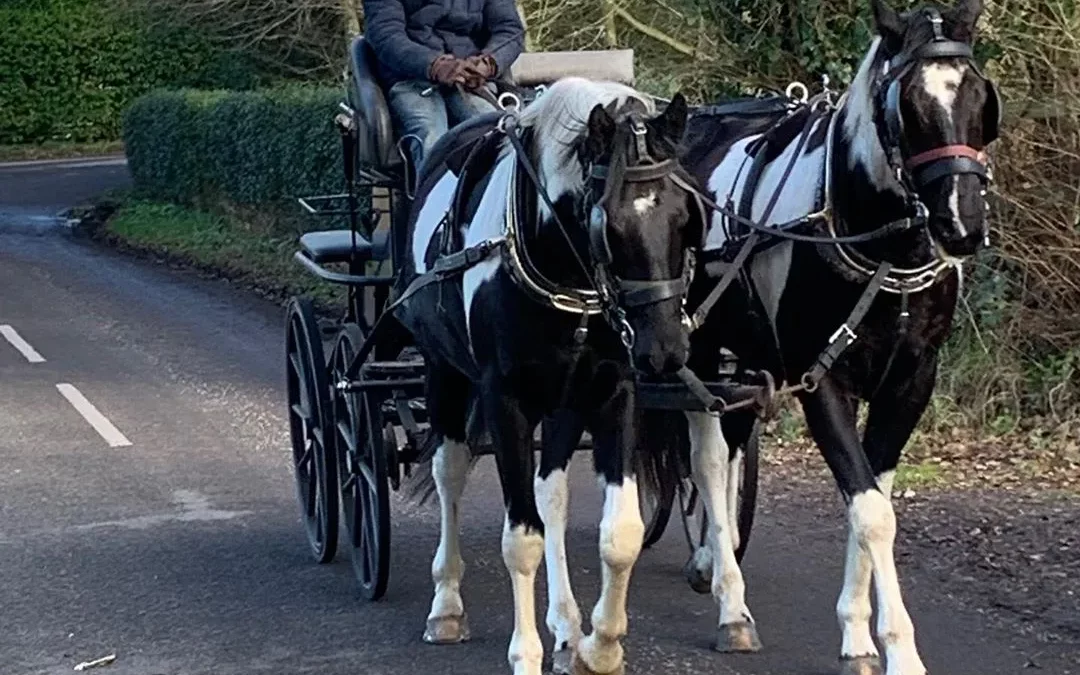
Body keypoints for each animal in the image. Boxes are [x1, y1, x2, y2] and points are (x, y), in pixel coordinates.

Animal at [393, 78, 695, 673]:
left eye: (681, 216)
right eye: (611, 224)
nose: (666, 350)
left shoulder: (612, 392)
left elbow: (619, 534)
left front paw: (599, 645)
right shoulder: (504, 400)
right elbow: (522, 538)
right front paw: (526, 652)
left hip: (565, 400)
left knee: (549, 490)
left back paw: (565, 623)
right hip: (445, 375)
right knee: (449, 471)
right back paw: (447, 605)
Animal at [678, 1, 997, 673]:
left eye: (981, 97)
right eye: (909, 105)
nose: (962, 224)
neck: (884, 252)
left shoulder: (910, 383)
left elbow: (871, 497)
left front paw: (857, 632)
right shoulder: (821, 382)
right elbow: (871, 513)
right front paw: (897, 648)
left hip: (744, 355)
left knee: (734, 445)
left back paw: (713, 561)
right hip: (697, 347)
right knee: (710, 460)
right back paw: (732, 605)